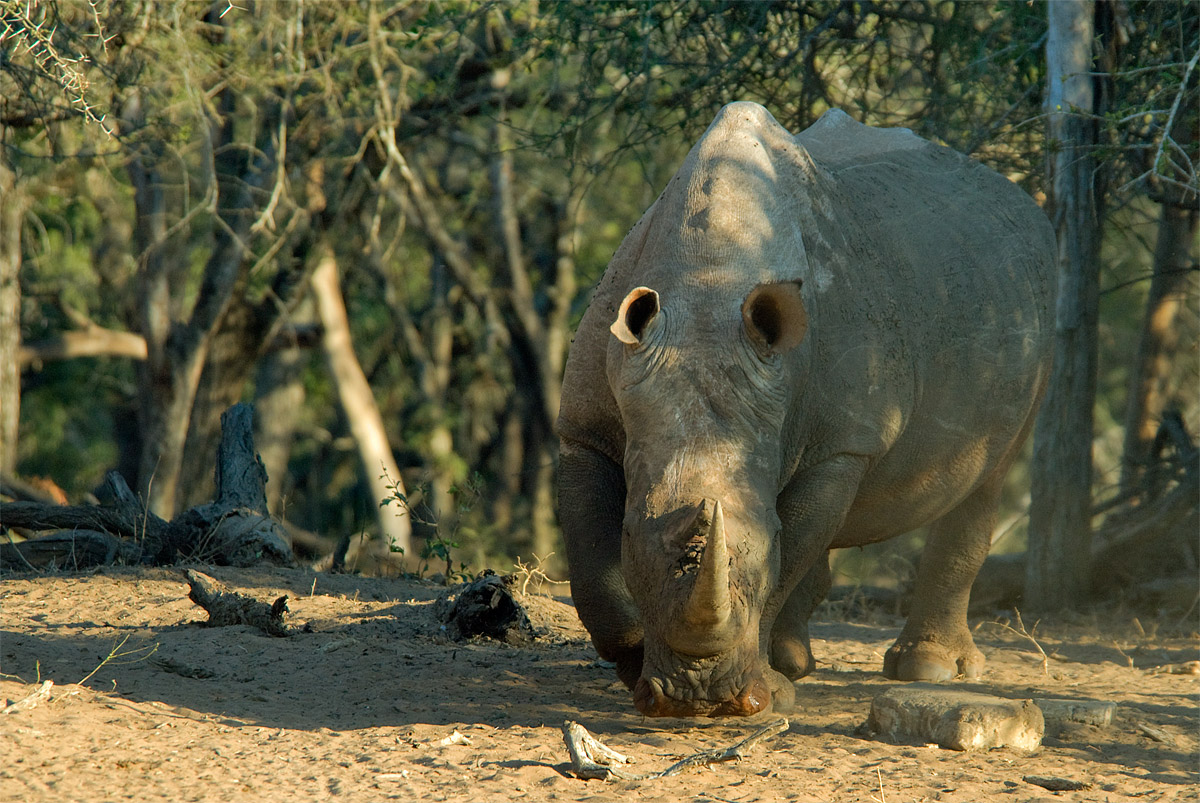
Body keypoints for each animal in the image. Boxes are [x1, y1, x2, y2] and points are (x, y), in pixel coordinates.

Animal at [557, 102, 1055, 718]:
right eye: (630, 541)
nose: (698, 699)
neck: (704, 293)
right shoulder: (584, 426)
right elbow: (591, 570)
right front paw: (634, 664)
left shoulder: (845, 443)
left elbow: (792, 549)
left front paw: (764, 695)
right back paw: (796, 662)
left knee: (989, 473)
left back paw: (928, 668)